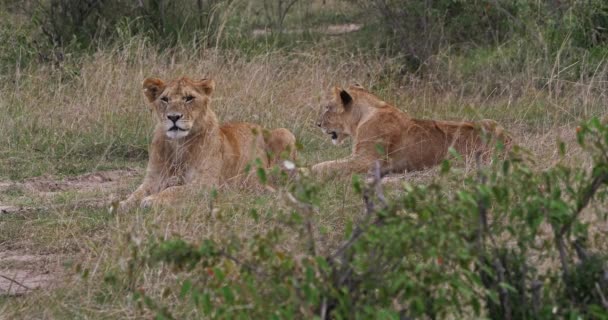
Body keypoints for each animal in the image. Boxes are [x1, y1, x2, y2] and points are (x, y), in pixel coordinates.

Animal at [117, 76, 296, 209]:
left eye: (189, 98)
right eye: (165, 99)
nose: (173, 117)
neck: (179, 144)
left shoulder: (208, 183)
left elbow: (175, 190)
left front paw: (152, 200)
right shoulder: (153, 178)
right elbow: (137, 193)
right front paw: (123, 204)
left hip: (284, 132)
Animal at [312, 85, 510, 178]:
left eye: (328, 108)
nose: (318, 124)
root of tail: (509, 142)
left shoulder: (367, 161)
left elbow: (327, 165)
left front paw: (308, 171)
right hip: (490, 121)